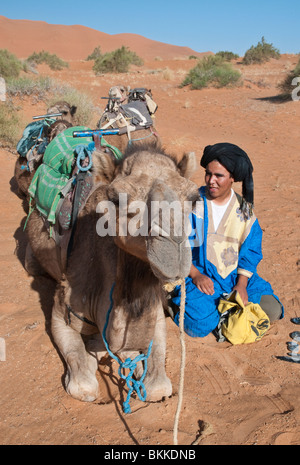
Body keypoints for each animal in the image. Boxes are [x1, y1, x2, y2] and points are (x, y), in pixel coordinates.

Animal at [25, 140, 199, 404]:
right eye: (116, 198)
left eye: (195, 198)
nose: (173, 251)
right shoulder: (61, 312)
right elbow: (84, 384)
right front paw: (94, 355)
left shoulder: (157, 318)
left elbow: (159, 387)